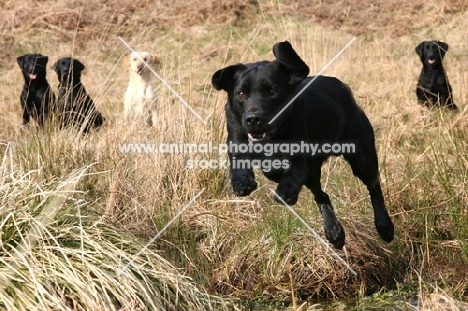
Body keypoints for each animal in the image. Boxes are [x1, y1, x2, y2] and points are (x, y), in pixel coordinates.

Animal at [212, 42, 394, 251]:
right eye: (241, 94)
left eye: (273, 91)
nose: (253, 119)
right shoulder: (236, 135)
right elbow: (240, 161)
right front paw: (242, 181)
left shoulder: (299, 156)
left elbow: (292, 172)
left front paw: (286, 191)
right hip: (315, 174)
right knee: (321, 195)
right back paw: (334, 232)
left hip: (362, 157)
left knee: (374, 186)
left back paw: (385, 226)